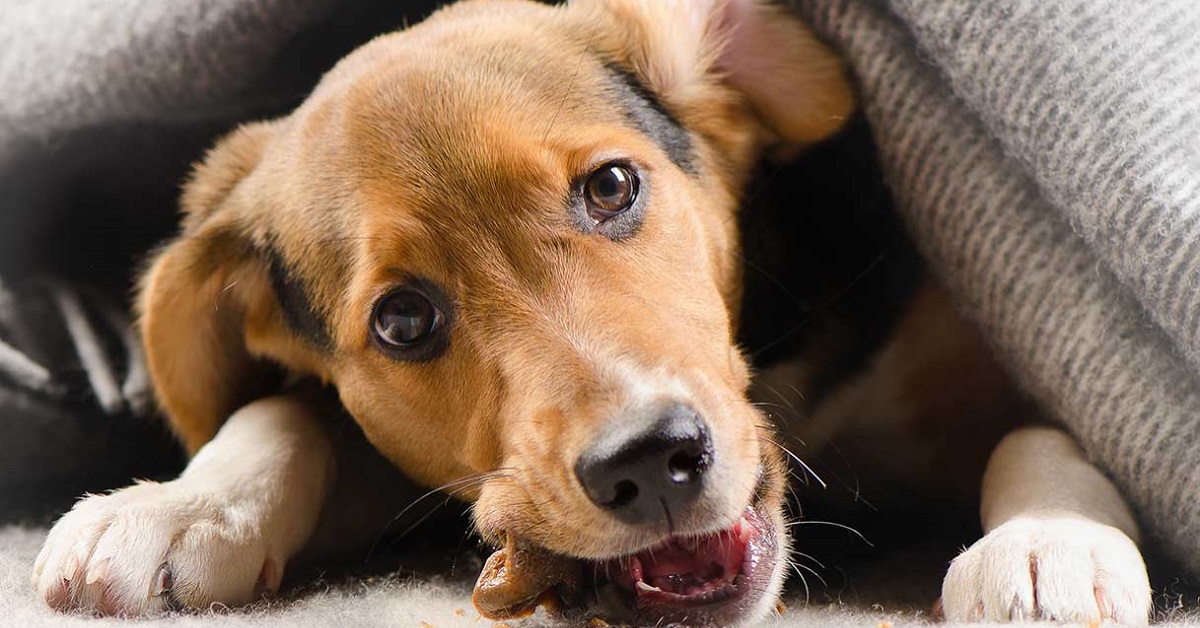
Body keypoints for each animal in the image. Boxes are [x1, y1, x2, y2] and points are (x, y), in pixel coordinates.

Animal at [30, 0, 1152, 624]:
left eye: (611, 186)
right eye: (403, 322)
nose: (649, 461)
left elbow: (1043, 417)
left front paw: (1051, 542)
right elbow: (286, 410)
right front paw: (177, 504)